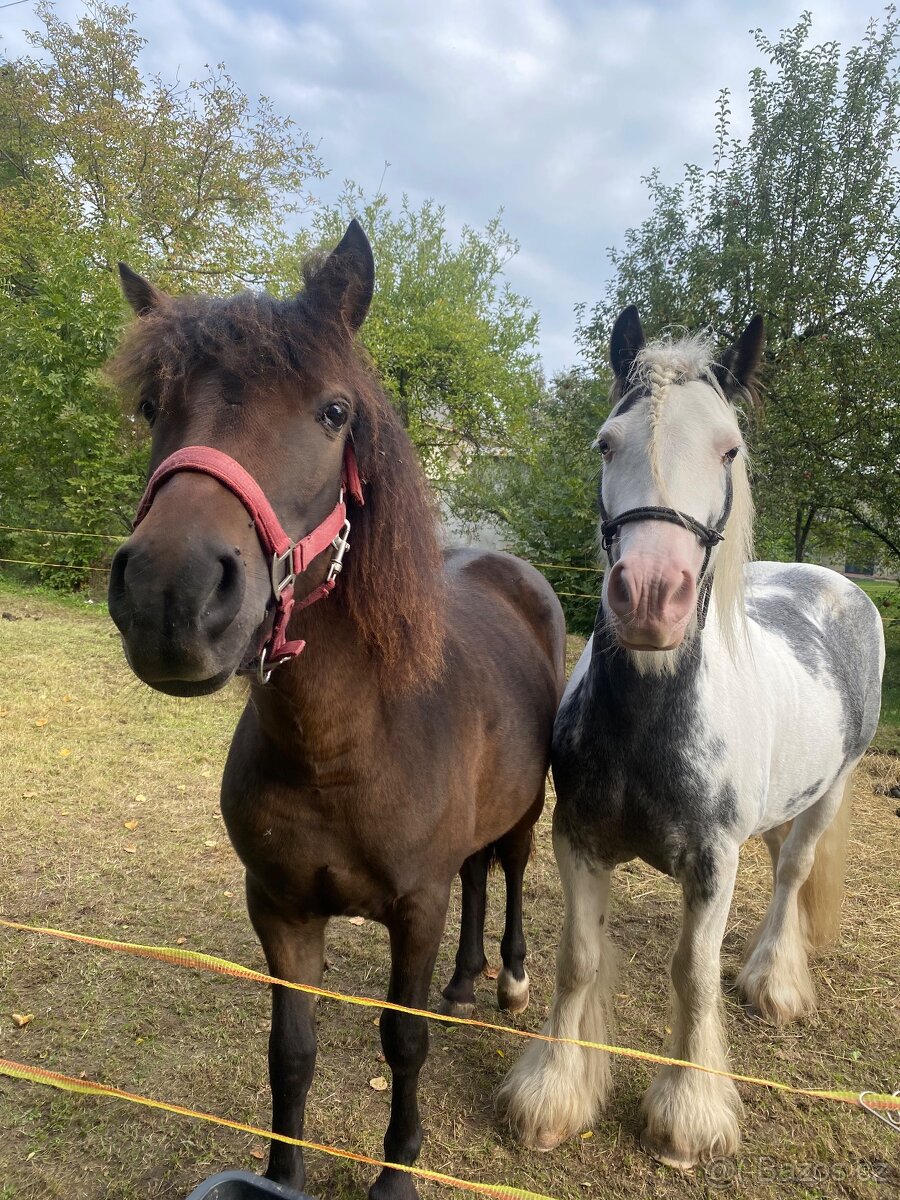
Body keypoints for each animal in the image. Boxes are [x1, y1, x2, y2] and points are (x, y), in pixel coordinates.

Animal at [109, 223, 566, 1200]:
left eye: (332, 413)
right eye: (153, 405)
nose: (171, 594)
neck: (341, 746)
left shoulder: (417, 908)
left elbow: (404, 1040)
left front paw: (397, 1173)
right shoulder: (280, 910)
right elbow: (290, 1052)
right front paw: (283, 1171)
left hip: (524, 814)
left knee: (507, 875)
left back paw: (505, 982)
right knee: (480, 877)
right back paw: (466, 981)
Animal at [501, 304, 888, 1166]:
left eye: (729, 447)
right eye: (605, 442)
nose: (651, 597)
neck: (650, 725)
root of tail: (837, 583)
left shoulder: (713, 865)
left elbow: (693, 976)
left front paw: (688, 1114)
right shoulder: (577, 839)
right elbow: (577, 959)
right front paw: (553, 1095)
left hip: (832, 788)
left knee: (792, 872)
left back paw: (774, 983)